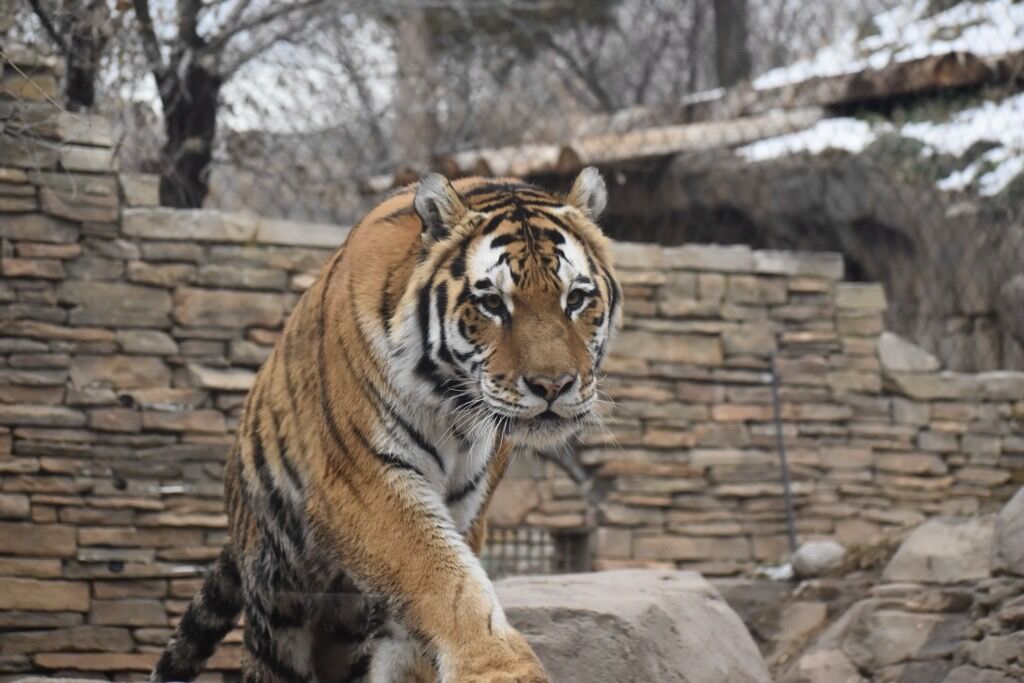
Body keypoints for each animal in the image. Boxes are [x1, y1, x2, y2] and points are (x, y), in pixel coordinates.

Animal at [149, 167, 622, 683]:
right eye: (493, 304)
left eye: (575, 299)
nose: (553, 385)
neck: (451, 408)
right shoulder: (361, 481)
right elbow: (441, 576)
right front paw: (499, 668)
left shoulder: (466, 508)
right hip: (277, 602)